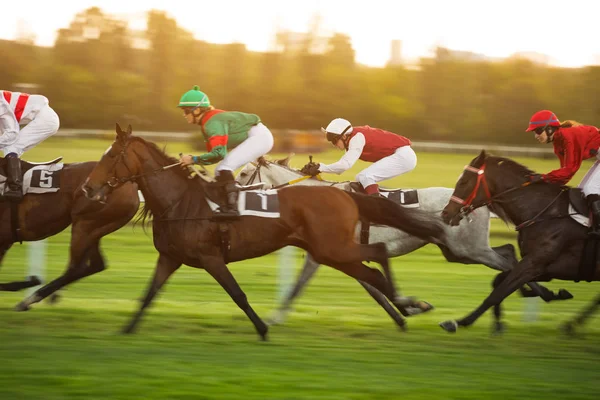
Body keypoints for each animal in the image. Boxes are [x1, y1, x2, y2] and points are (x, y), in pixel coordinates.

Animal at [0, 154, 138, 310]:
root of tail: (131, 184)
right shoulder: (5, 242)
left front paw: (31, 281)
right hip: (94, 230)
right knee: (96, 265)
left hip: (84, 225)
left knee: (77, 267)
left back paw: (31, 298)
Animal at [79, 124, 446, 338]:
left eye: (111, 156)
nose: (87, 189)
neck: (181, 202)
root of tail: (344, 195)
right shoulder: (170, 257)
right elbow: (148, 294)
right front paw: (127, 329)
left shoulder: (211, 257)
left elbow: (239, 294)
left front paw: (263, 327)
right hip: (331, 251)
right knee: (372, 272)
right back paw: (409, 305)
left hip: (333, 249)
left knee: (377, 258)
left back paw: (412, 304)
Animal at [236, 155, 568, 326]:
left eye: (242, 174)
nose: (232, 195)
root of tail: (480, 201)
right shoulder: (333, 253)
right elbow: (372, 288)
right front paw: (404, 313)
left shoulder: (332, 252)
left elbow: (301, 286)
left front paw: (274, 318)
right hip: (457, 251)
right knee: (509, 255)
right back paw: (538, 294)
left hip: (467, 247)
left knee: (509, 259)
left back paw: (543, 293)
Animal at [438, 150, 596, 334]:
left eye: (463, 181)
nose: (445, 213)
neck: (547, 213)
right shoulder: (541, 267)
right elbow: (500, 281)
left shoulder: (535, 263)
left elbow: (498, 292)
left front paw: (459, 321)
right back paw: (572, 324)